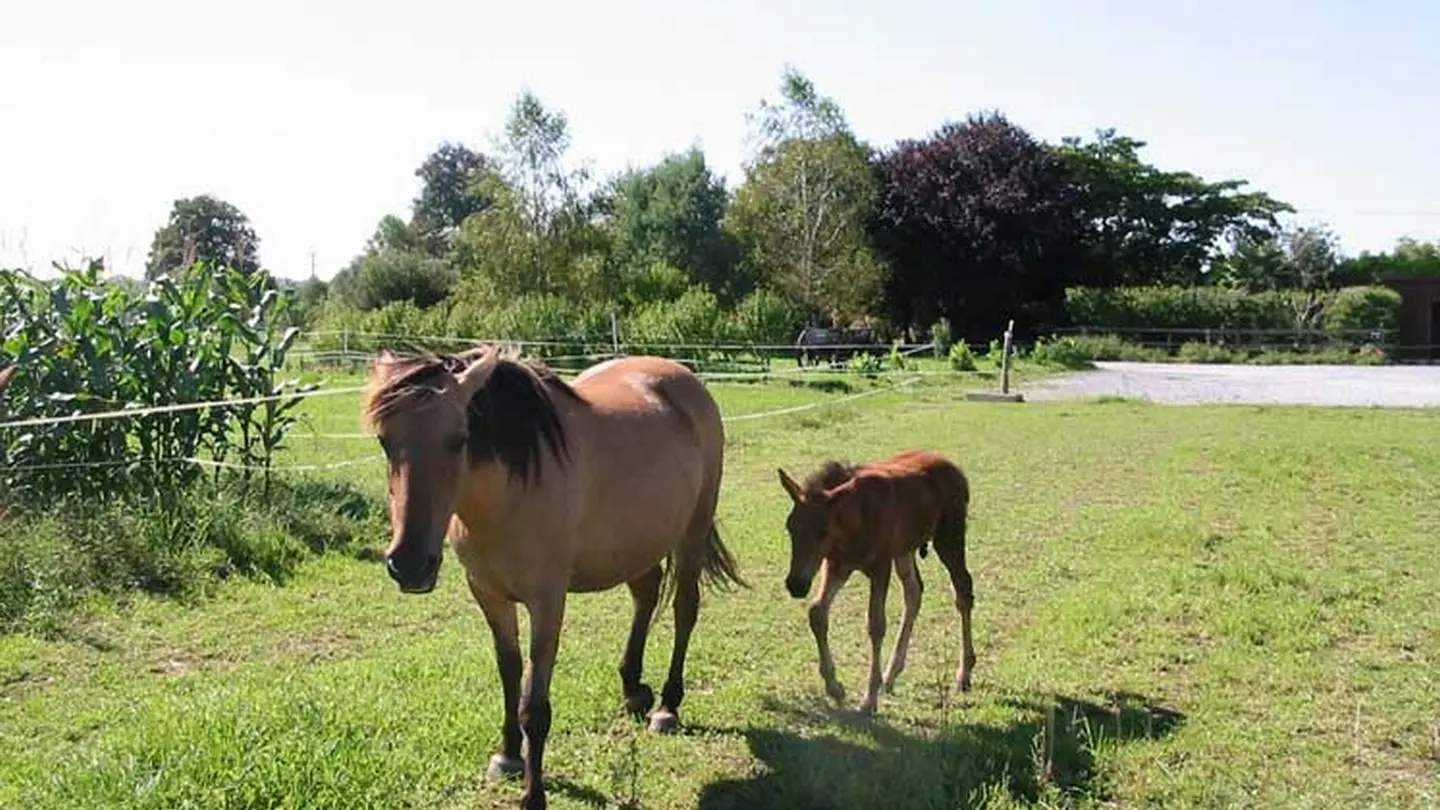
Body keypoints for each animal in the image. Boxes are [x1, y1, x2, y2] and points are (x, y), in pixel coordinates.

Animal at [362, 341, 743, 807]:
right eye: (385, 441)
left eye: (459, 439)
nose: (410, 565)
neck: (507, 495)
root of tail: (685, 379)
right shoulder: (488, 595)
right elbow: (509, 677)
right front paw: (507, 756)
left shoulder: (547, 602)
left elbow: (534, 705)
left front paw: (533, 793)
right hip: (637, 541)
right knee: (646, 593)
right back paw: (633, 689)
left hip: (692, 533)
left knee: (685, 609)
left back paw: (667, 707)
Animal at [777, 446, 979, 711]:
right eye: (790, 527)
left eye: (823, 532)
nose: (796, 584)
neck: (854, 520)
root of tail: (956, 470)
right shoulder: (836, 566)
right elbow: (817, 612)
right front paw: (835, 687)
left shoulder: (880, 567)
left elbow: (876, 624)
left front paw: (869, 698)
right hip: (904, 550)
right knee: (914, 593)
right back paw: (891, 674)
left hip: (949, 536)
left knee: (963, 590)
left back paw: (963, 674)